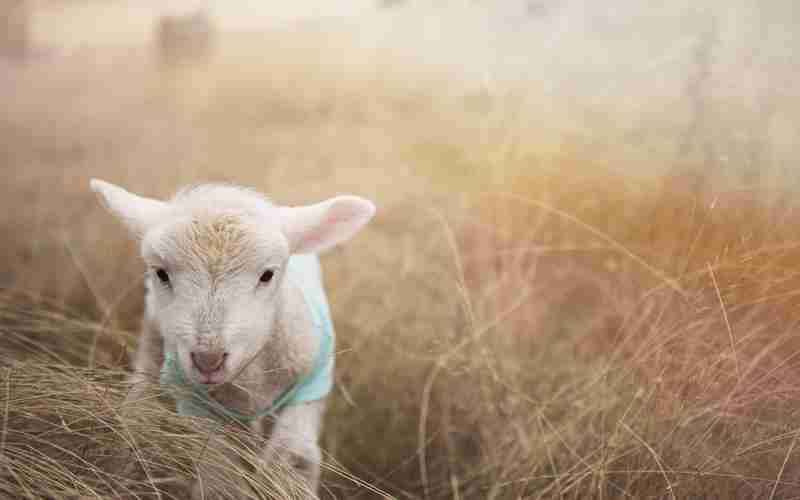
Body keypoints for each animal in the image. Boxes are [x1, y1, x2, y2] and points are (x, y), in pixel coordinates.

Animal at [89, 179, 376, 496]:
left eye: (267, 275)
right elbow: (220, 477)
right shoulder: (201, 405)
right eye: (161, 273)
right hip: (153, 342)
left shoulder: (310, 386)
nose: (208, 360)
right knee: (139, 402)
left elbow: (294, 460)